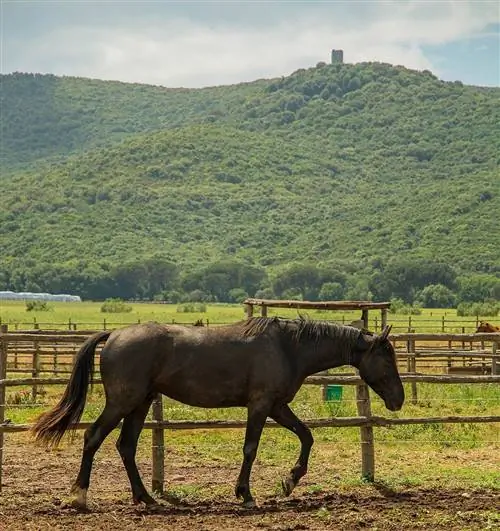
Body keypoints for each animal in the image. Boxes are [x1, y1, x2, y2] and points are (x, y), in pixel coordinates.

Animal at [31, 318, 404, 510]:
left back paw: (145, 498)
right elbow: (250, 449)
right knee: (93, 437)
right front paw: (246, 494)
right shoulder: (261, 405)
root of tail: (115, 334)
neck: (289, 347)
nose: (398, 400)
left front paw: (290, 480)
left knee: (126, 447)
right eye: (386, 359)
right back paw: (80, 496)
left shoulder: (277, 406)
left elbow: (306, 435)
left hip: (140, 404)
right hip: (123, 403)